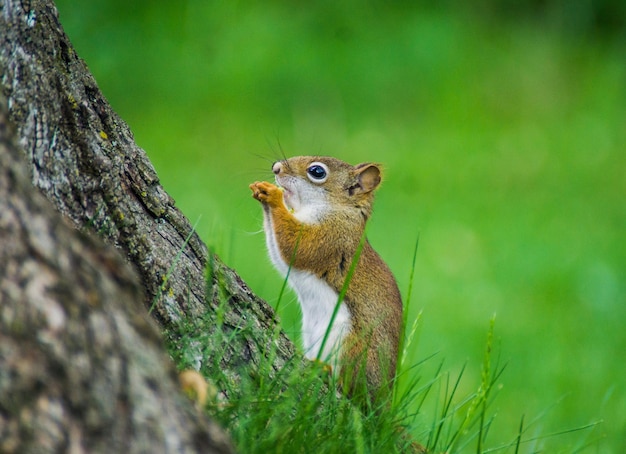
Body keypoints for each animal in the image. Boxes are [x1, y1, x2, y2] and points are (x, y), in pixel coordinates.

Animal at [246, 156, 402, 404]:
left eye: (317, 172)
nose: (276, 168)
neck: (337, 209)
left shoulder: (331, 239)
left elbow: (296, 247)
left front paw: (273, 196)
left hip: (353, 347)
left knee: (351, 390)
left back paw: (326, 370)